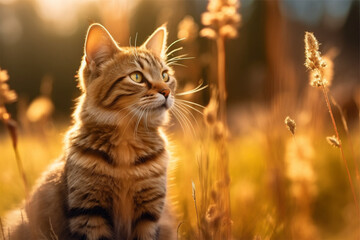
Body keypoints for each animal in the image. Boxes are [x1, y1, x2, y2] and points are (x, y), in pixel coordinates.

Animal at [2, 23, 177, 240]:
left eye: (165, 76)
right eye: (137, 77)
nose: (166, 92)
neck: (126, 145)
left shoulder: (150, 213)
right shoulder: (89, 211)